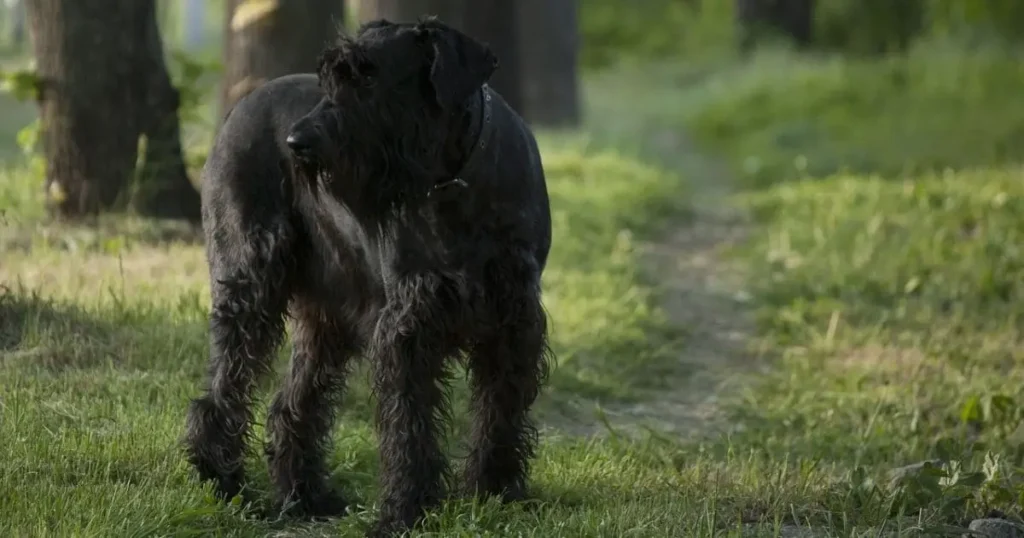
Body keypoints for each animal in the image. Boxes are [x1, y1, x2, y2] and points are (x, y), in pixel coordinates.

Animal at [184, 16, 552, 536]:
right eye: (331, 76)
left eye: (371, 76)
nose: (298, 144)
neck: (453, 181)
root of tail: (241, 106)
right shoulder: (408, 325)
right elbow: (408, 425)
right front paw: (405, 510)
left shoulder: (514, 320)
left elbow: (501, 410)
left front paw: (496, 493)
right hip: (249, 284)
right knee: (224, 390)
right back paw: (222, 481)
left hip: (328, 320)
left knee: (292, 403)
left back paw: (306, 496)